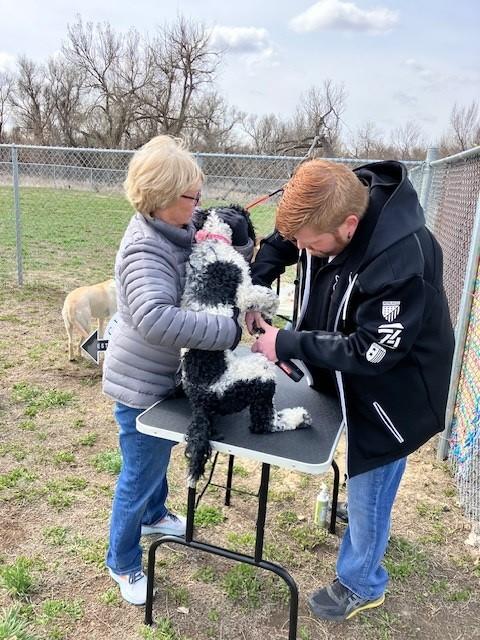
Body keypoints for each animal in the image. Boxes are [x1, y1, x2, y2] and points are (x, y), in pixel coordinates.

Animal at [181, 208, 312, 482]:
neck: (213, 240)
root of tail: (201, 404)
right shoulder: (244, 290)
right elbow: (266, 295)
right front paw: (270, 309)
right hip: (260, 374)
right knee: (263, 423)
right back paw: (297, 417)